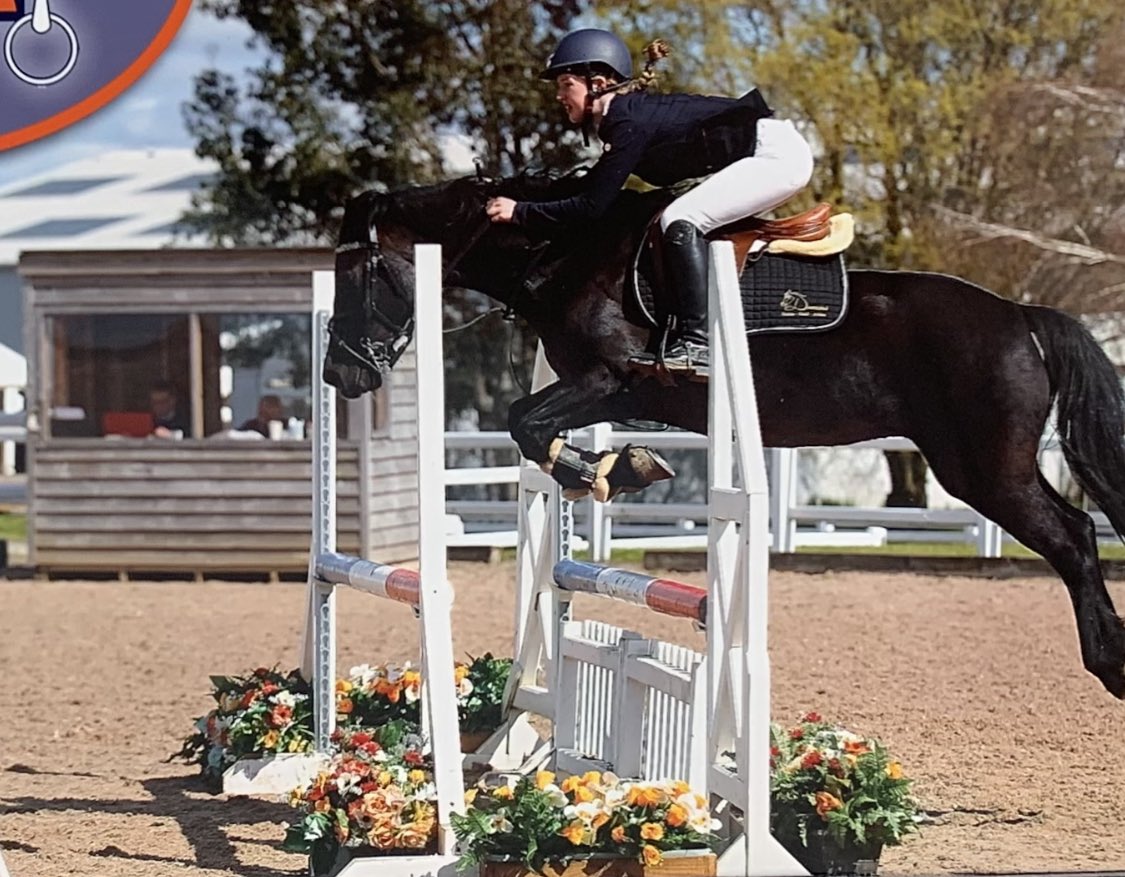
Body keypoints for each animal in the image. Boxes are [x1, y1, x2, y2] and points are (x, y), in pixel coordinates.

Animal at [324, 171, 1125, 700]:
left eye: (359, 272)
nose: (339, 373)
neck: (562, 254)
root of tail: (1021, 316)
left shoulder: (610, 377)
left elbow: (526, 422)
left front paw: (610, 469)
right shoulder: (605, 389)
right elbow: (533, 432)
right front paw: (615, 467)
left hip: (983, 469)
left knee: (1074, 534)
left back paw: (1110, 664)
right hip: (986, 466)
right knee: (1077, 530)